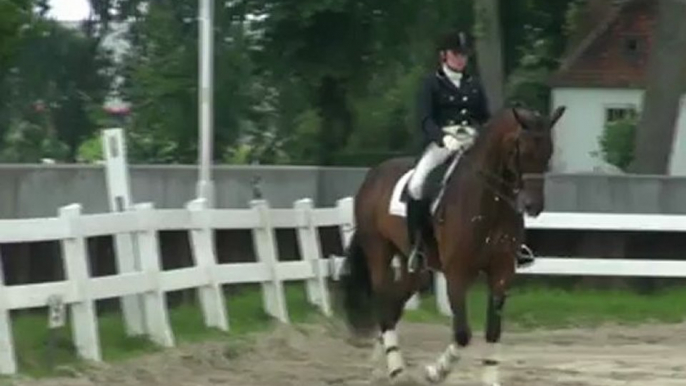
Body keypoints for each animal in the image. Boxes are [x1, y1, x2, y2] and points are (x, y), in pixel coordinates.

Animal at [340, 104, 568, 384]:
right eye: (520, 151)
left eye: (548, 152)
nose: (532, 206)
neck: (488, 203)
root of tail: (373, 174)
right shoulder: (457, 273)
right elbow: (462, 334)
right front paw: (435, 372)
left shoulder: (502, 271)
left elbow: (493, 331)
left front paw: (489, 378)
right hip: (378, 249)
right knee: (382, 303)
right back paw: (395, 370)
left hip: (413, 266)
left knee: (394, 303)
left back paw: (380, 366)